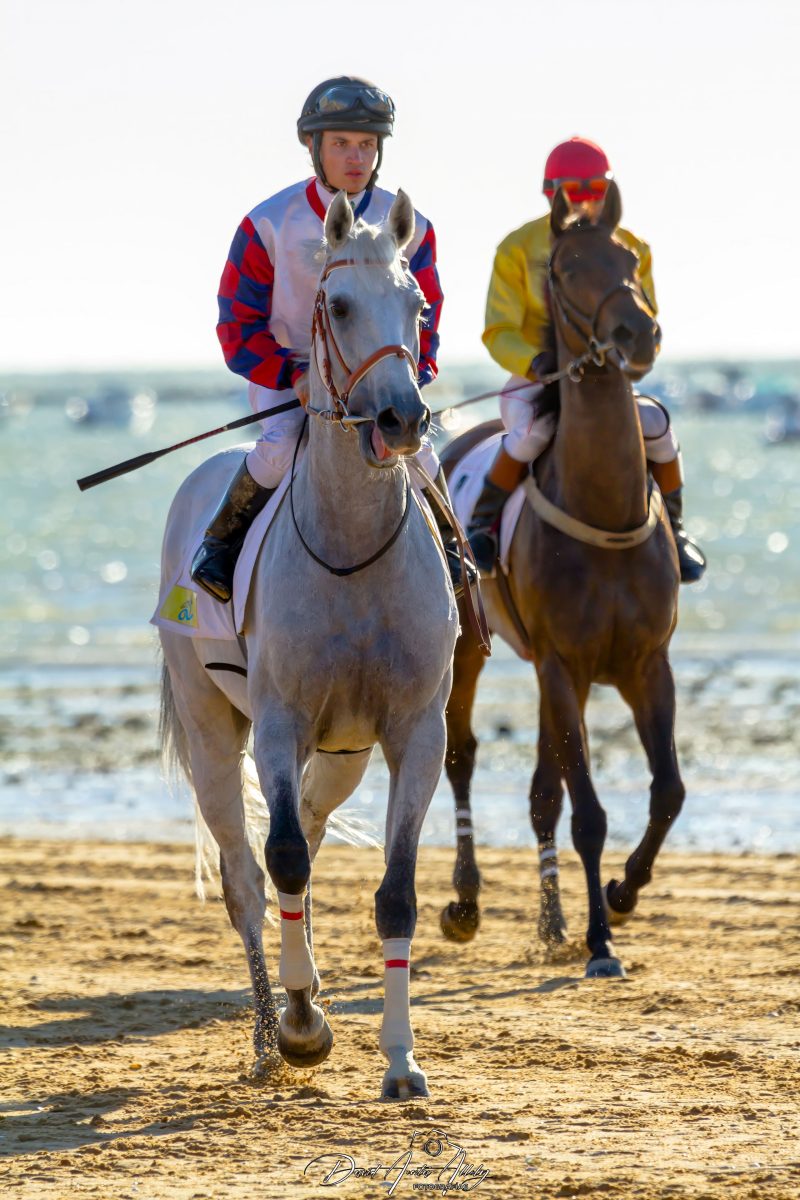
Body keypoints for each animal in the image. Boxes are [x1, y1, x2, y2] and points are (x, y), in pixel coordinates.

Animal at [158, 190, 458, 1098]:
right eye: (339, 305)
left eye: (418, 305)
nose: (402, 417)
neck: (353, 548)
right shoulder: (280, 721)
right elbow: (283, 858)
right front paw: (300, 1029)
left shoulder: (415, 731)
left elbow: (395, 891)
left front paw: (401, 1061)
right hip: (214, 732)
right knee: (245, 875)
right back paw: (267, 1032)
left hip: (345, 750)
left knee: (312, 838)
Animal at [440, 181, 685, 978]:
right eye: (567, 266)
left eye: (629, 259)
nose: (639, 333)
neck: (601, 508)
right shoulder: (563, 662)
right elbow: (590, 815)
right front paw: (602, 942)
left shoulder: (645, 664)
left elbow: (667, 792)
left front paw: (622, 896)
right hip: (474, 649)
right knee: (461, 755)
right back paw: (465, 902)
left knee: (542, 792)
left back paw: (551, 921)